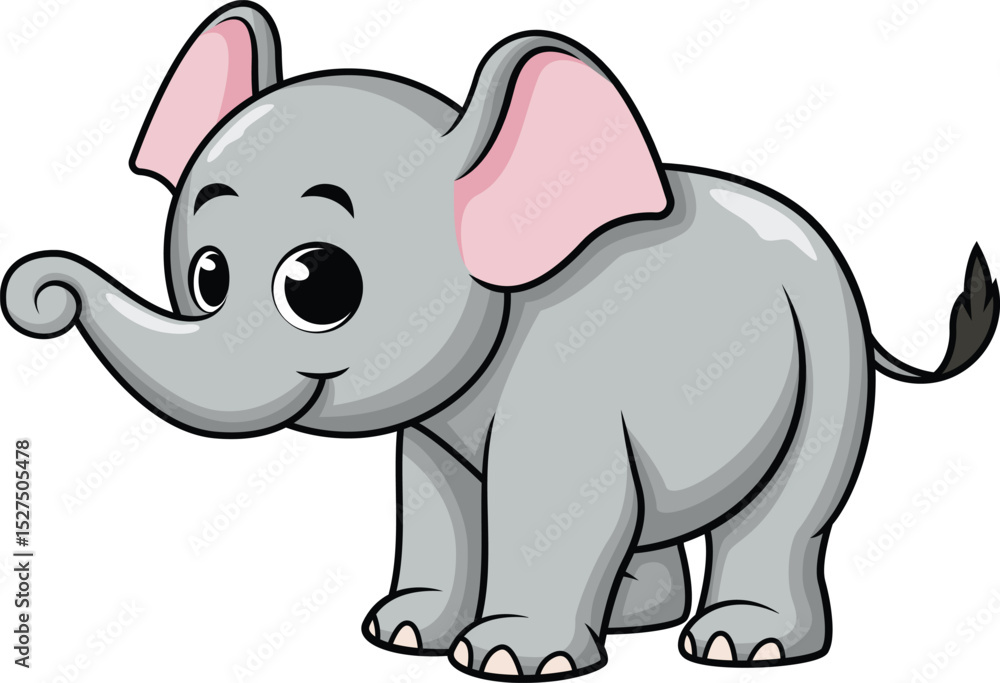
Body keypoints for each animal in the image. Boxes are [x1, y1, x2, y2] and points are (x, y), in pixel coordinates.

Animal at [3, 3, 997, 678]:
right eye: (207, 273)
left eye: (316, 284)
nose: (35, 292)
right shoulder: (436, 424)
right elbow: (439, 494)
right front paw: (403, 635)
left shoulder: (567, 380)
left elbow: (558, 498)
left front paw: (509, 662)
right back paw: (632, 621)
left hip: (827, 361)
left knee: (789, 509)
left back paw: (735, 646)